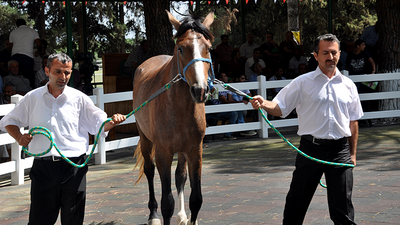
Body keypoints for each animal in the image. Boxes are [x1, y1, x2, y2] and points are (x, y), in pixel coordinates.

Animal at [132, 11, 214, 225]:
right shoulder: (163, 153)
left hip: (183, 151)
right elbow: (166, 202)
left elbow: (196, 199)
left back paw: (182, 215)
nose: (200, 90)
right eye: (181, 48)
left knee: (180, 176)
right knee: (149, 171)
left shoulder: (195, 151)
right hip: (146, 140)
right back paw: (153, 215)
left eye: (208, 48)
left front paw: (188, 216)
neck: (179, 107)